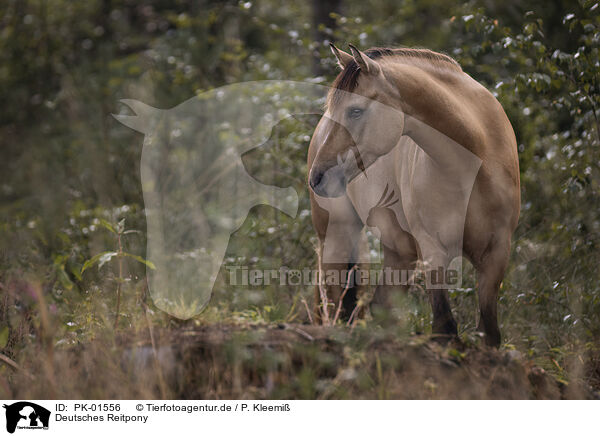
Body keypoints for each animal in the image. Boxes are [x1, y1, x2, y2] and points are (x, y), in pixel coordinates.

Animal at [310, 43, 520, 344]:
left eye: (355, 111)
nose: (317, 178)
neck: (475, 162)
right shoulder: (433, 249)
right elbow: (445, 327)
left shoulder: (497, 253)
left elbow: (489, 332)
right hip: (336, 236)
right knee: (333, 303)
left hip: (399, 250)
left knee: (380, 306)